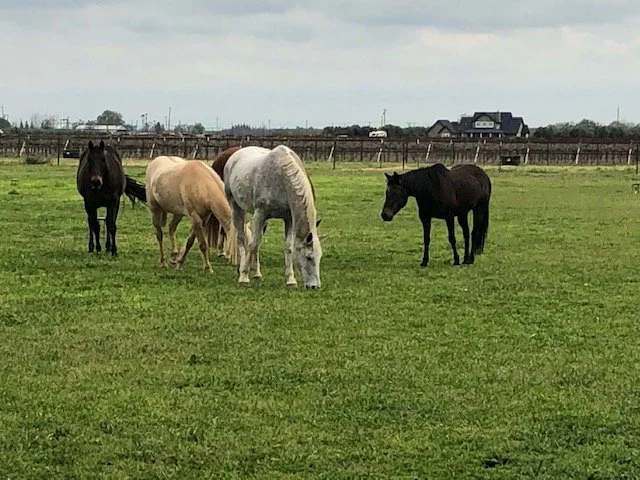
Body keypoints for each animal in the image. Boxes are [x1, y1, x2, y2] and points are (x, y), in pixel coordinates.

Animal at [224, 145, 323, 288]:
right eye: (308, 257)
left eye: (320, 256)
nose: (314, 286)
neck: (281, 177)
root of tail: (235, 155)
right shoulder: (260, 213)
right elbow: (252, 244)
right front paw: (243, 277)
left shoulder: (289, 219)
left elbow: (288, 247)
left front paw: (291, 280)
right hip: (236, 206)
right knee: (242, 239)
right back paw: (243, 269)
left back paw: (256, 273)